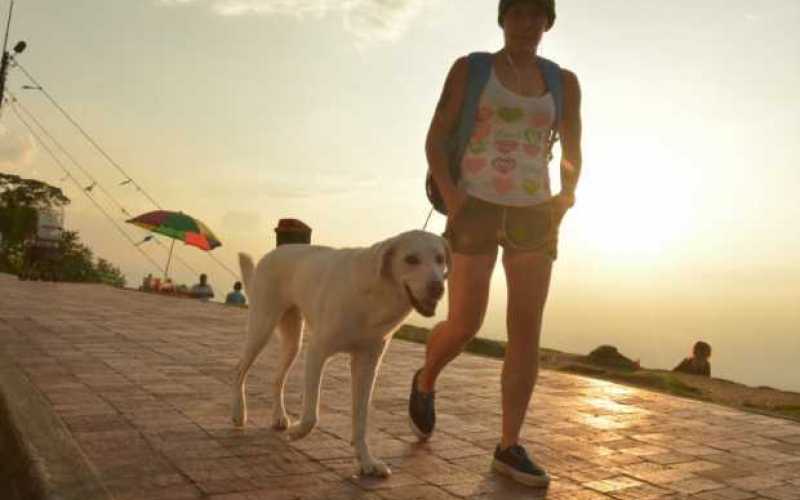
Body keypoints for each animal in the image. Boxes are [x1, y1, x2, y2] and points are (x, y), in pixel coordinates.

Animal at [231, 230, 450, 476]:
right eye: (411, 259)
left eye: (440, 259)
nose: (438, 288)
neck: (376, 296)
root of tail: (273, 253)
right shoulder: (316, 351)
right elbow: (311, 415)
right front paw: (298, 432)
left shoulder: (367, 365)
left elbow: (361, 420)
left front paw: (366, 461)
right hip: (262, 328)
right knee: (239, 369)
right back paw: (239, 413)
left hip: (293, 342)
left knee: (277, 379)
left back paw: (278, 416)